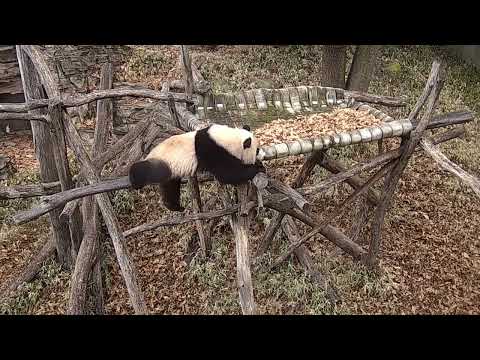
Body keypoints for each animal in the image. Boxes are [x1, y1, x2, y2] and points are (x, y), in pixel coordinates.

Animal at [128, 124, 266, 211]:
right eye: (257, 150)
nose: (262, 156)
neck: (230, 138)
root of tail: (150, 153)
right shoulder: (212, 151)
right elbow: (227, 174)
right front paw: (258, 167)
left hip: (171, 170)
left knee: (169, 186)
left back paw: (175, 207)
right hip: (163, 161)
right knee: (148, 170)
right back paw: (135, 179)